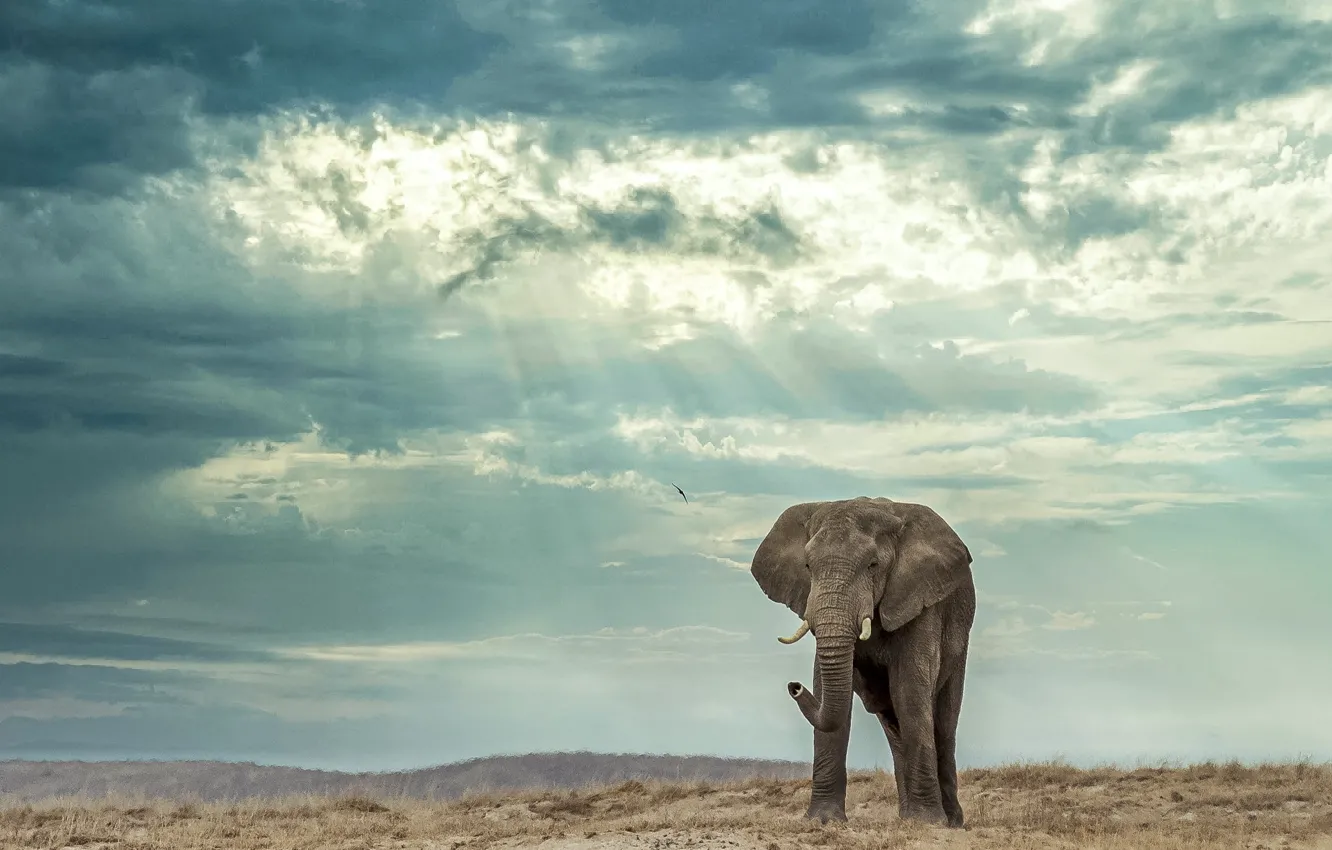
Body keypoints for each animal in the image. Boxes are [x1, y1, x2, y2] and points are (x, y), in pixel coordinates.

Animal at [749, 496, 976, 827]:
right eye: (808, 566)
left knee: (943, 722)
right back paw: (906, 816)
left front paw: (927, 823)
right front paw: (824, 820)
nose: (793, 687)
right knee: (892, 722)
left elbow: (909, 690)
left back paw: (951, 821)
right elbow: (826, 687)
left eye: (873, 566)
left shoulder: (919, 600)